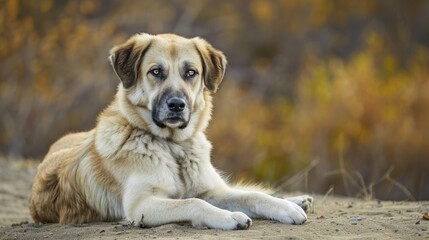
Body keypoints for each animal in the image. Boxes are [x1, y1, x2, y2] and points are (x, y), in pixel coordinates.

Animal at [29, 32, 310, 230]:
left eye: (191, 73)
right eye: (156, 72)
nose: (177, 105)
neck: (174, 147)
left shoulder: (210, 191)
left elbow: (253, 195)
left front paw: (286, 208)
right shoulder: (142, 206)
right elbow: (193, 202)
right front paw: (230, 217)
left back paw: (296, 201)